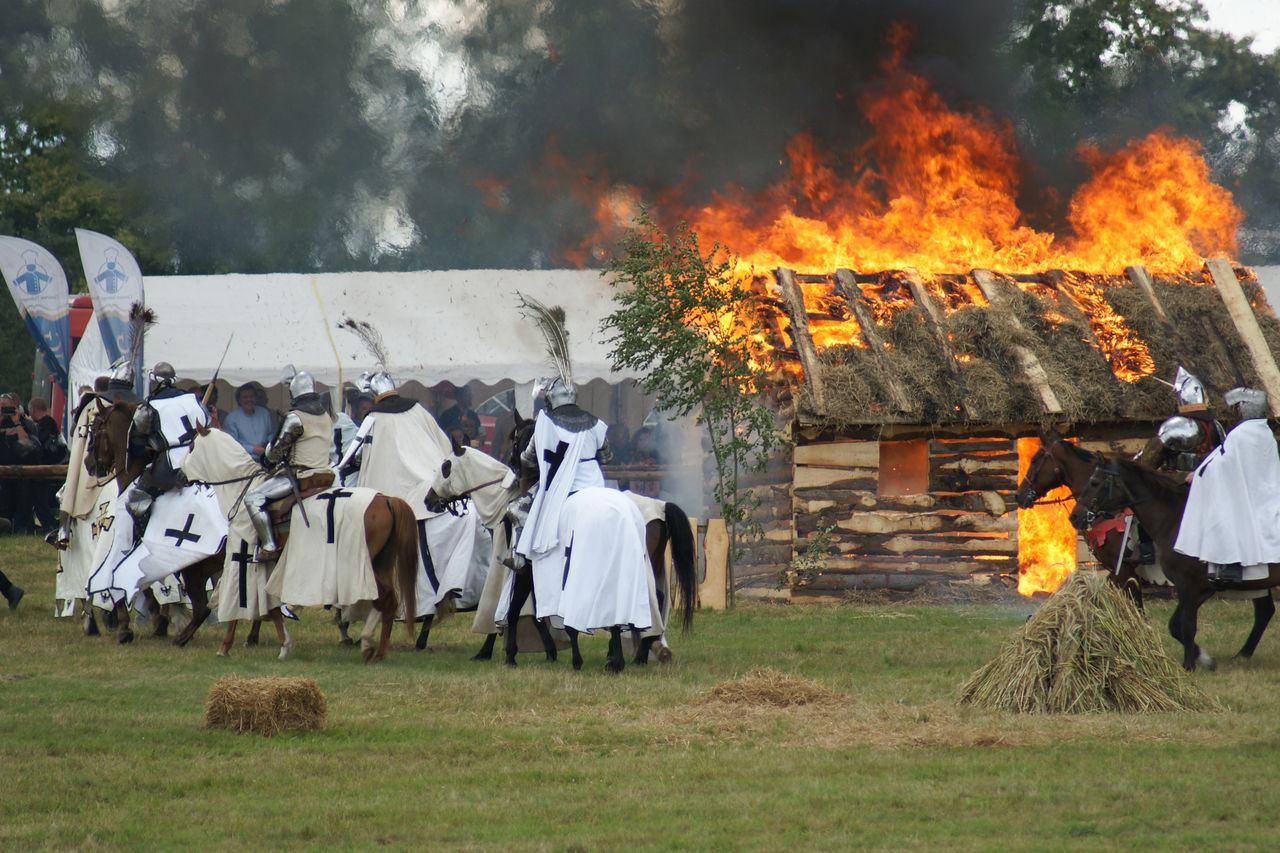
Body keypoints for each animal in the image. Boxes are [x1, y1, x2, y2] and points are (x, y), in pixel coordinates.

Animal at [181, 422, 419, 660]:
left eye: (191, 446)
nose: (179, 476)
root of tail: (386, 499)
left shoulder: (240, 559)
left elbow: (239, 601)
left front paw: (225, 647)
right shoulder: (266, 566)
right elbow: (272, 607)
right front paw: (284, 645)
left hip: (362, 566)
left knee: (385, 598)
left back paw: (372, 647)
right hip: (381, 562)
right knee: (388, 600)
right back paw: (374, 647)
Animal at [1075, 455, 1274, 666]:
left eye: (1095, 482)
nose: (1074, 516)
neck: (1174, 520)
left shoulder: (1186, 584)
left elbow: (1186, 626)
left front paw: (1189, 665)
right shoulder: (1200, 587)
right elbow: (1175, 625)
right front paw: (1202, 658)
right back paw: (1243, 654)